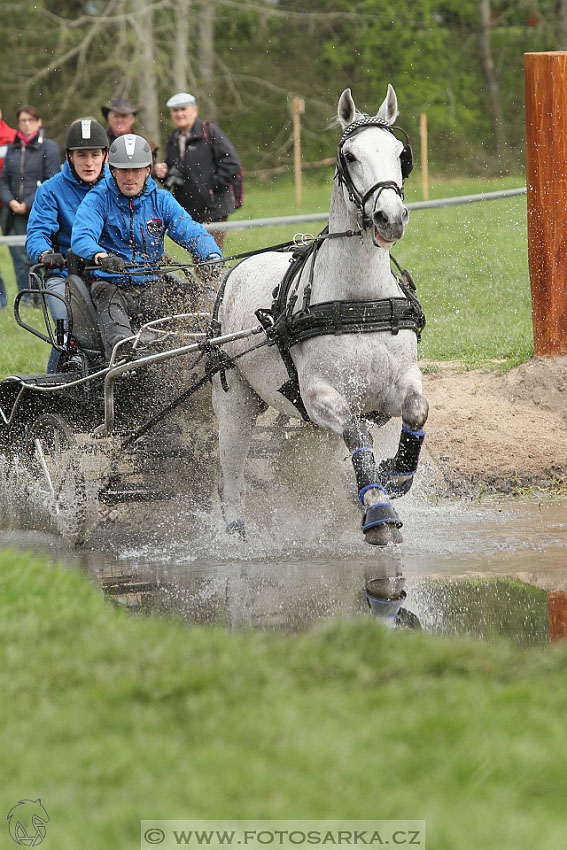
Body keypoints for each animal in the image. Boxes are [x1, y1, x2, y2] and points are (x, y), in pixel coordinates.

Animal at [213, 84, 430, 544]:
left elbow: (416, 410)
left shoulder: (397, 383)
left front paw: (393, 475)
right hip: (234, 401)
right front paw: (378, 508)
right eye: (349, 155)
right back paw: (237, 534)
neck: (359, 304)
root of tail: (233, 272)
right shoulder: (318, 394)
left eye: (400, 153)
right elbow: (354, 430)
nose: (390, 217)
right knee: (231, 478)